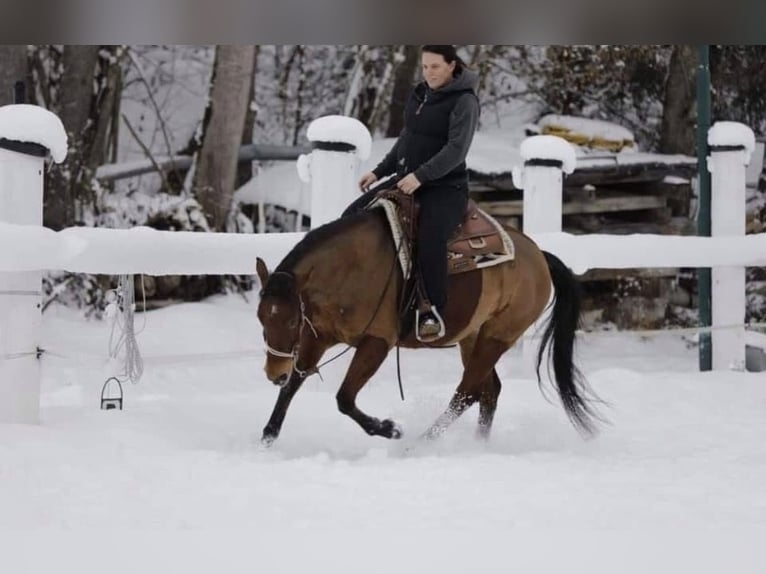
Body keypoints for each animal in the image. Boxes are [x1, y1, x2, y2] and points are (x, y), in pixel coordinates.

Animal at [254, 203, 597, 445]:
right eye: (261, 317)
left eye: (292, 320)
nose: (273, 373)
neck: (350, 267)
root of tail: (539, 255)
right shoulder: (319, 336)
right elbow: (293, 386)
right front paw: (267, 438)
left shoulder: (377, 342)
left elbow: (344, 398)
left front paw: (390, 429)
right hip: (472, 335)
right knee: (488, 392)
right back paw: (478, 444)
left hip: (498, 336)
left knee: (467, 393)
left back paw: (421, 443)